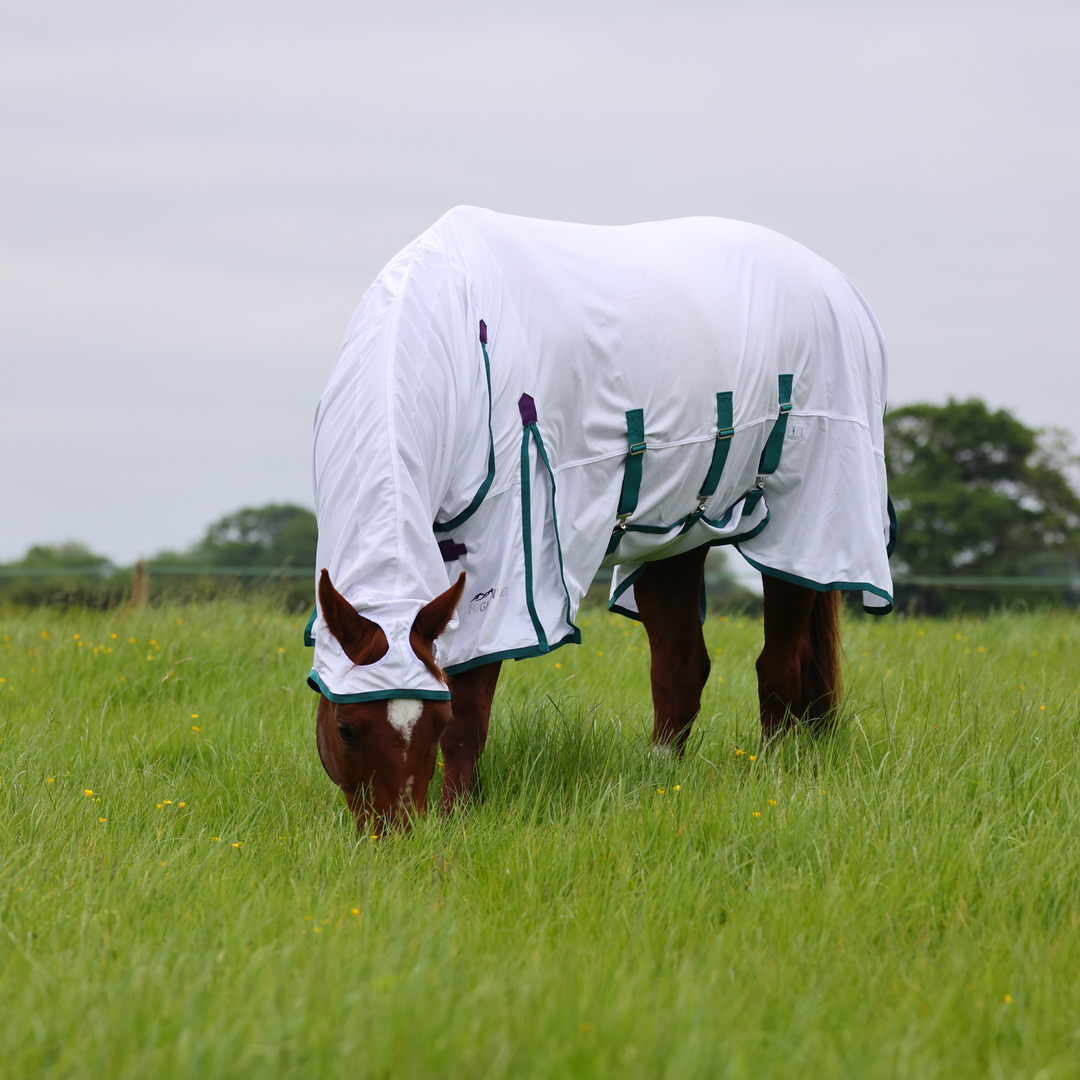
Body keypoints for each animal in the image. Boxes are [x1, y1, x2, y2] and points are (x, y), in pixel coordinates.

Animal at [306, 207, 894, 829]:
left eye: (432, 722)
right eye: (346, 728)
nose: (399, 835)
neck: (454, 338)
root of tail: (837, 285)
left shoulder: (507, 552)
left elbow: (470, 710)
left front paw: (457, 815)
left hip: (806, 525)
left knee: (780, 664)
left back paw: (772, 772)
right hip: (679, 536)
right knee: (683, 668)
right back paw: (661, 780)